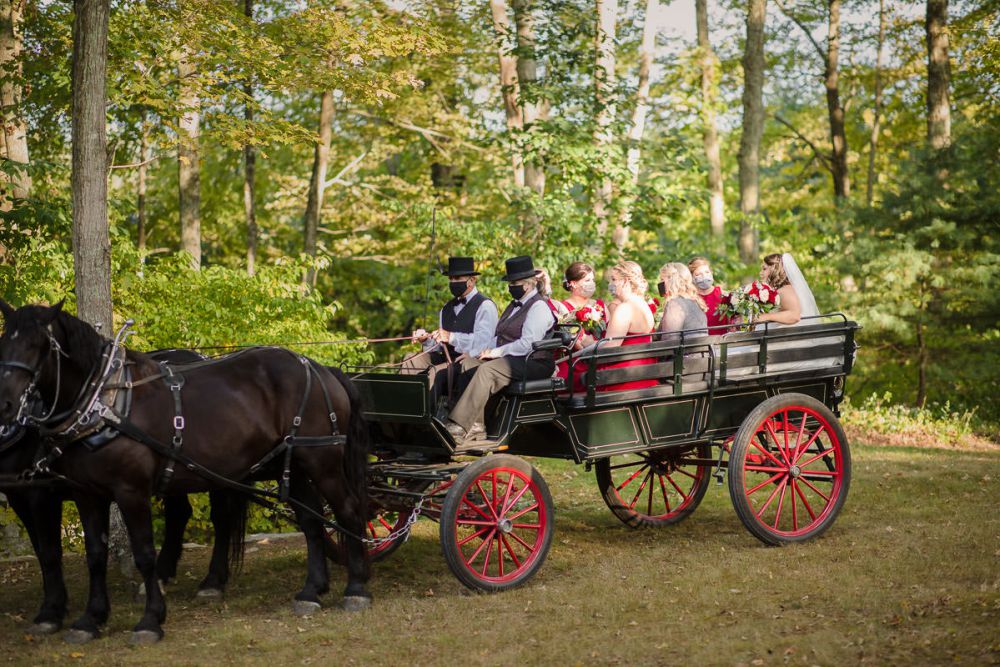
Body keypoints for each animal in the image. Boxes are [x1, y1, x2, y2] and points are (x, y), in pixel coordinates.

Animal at [0, 301, 371, 645]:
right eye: (5, 340)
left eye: (38, 344)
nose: (5, 403)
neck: (103, 402)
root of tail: (319, 368)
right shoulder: (86, 494)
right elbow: (94, 555)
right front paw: (89, 619)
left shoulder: (127, 491)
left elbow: (142, 554)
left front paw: (150, 619)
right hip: (290, 466)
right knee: (310, 521)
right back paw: (311, 591)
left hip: (322, 461)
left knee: (348, 511)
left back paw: (357, 587)